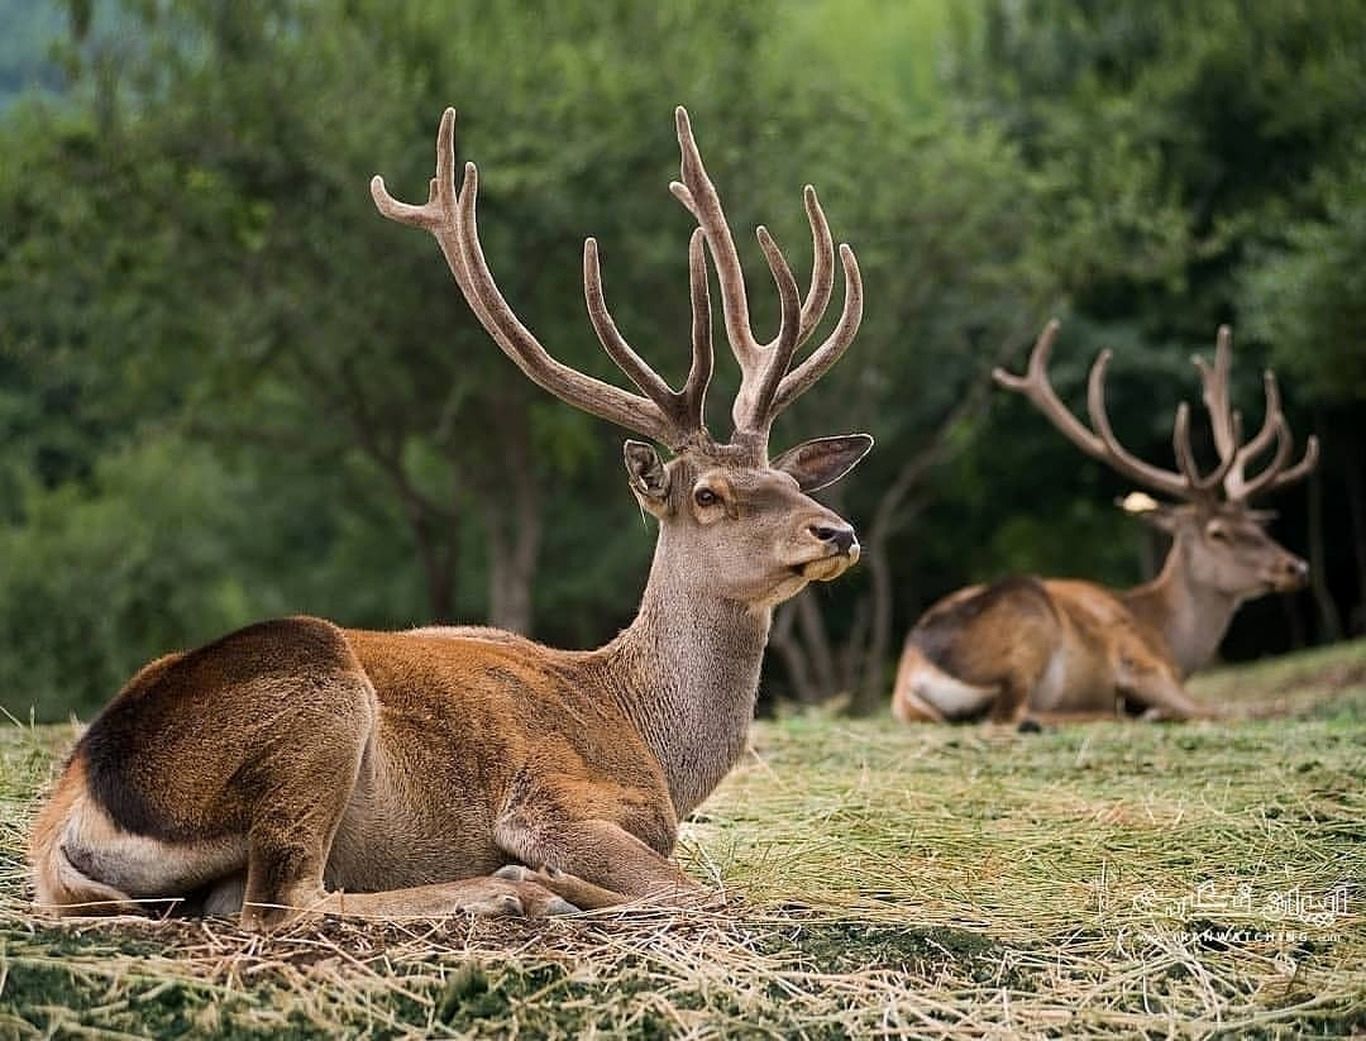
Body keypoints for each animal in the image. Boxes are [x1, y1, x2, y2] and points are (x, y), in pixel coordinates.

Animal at [32, 109, 868, 928]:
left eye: (791, 478)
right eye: (709, 494)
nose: (839, 531)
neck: (650, 739)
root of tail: (67, 816)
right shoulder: (552, 800)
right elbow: (700, 892)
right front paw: (548, 878)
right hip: (318, 695)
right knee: (281, 902)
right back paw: (520, 889)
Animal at [890, 322, 1316, 721]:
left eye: (1257, 525)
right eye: (1218, 532)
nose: (1296, 567)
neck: (1164, 634)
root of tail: (911, 675)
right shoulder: (1138, 660)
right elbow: (1222, 708)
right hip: (1027, 625)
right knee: (1013, 714)